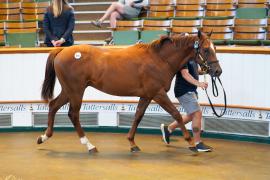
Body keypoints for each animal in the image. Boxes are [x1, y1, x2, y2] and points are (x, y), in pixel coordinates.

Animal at [37, 31, 221, 153]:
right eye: (206, 49)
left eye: (215, 47)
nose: (217, 71)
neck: (160, 59)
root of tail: (62, 50)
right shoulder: (158, 94)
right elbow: (176, 114)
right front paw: (191, 142)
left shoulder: (146, 95)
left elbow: (138, 116)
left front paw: (132, 143)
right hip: (76, 91)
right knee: (73, 114)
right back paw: (89, 145)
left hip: (69, 90)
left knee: (53, 106)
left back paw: (44, 137)